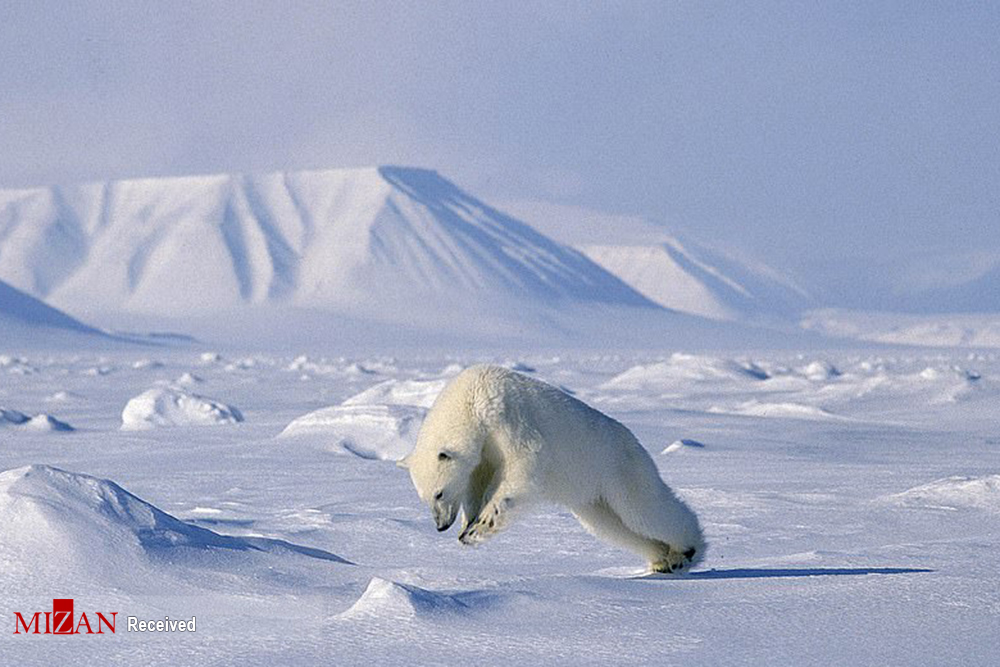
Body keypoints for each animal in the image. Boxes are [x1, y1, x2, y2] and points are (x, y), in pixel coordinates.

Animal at [398, 366, 704, 576]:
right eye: (424, 497)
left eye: (439, 493)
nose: (440, 526)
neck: (473, 400)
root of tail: (633, 440)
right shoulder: (483, 453)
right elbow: (477, 483)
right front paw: (468, 524)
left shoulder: (508, 422)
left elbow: (523, 468)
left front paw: (476, 529)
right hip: (592, 494)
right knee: (613, 525)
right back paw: (662, 560)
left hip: (618, 467)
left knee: (643, 510)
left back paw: (686, 552)